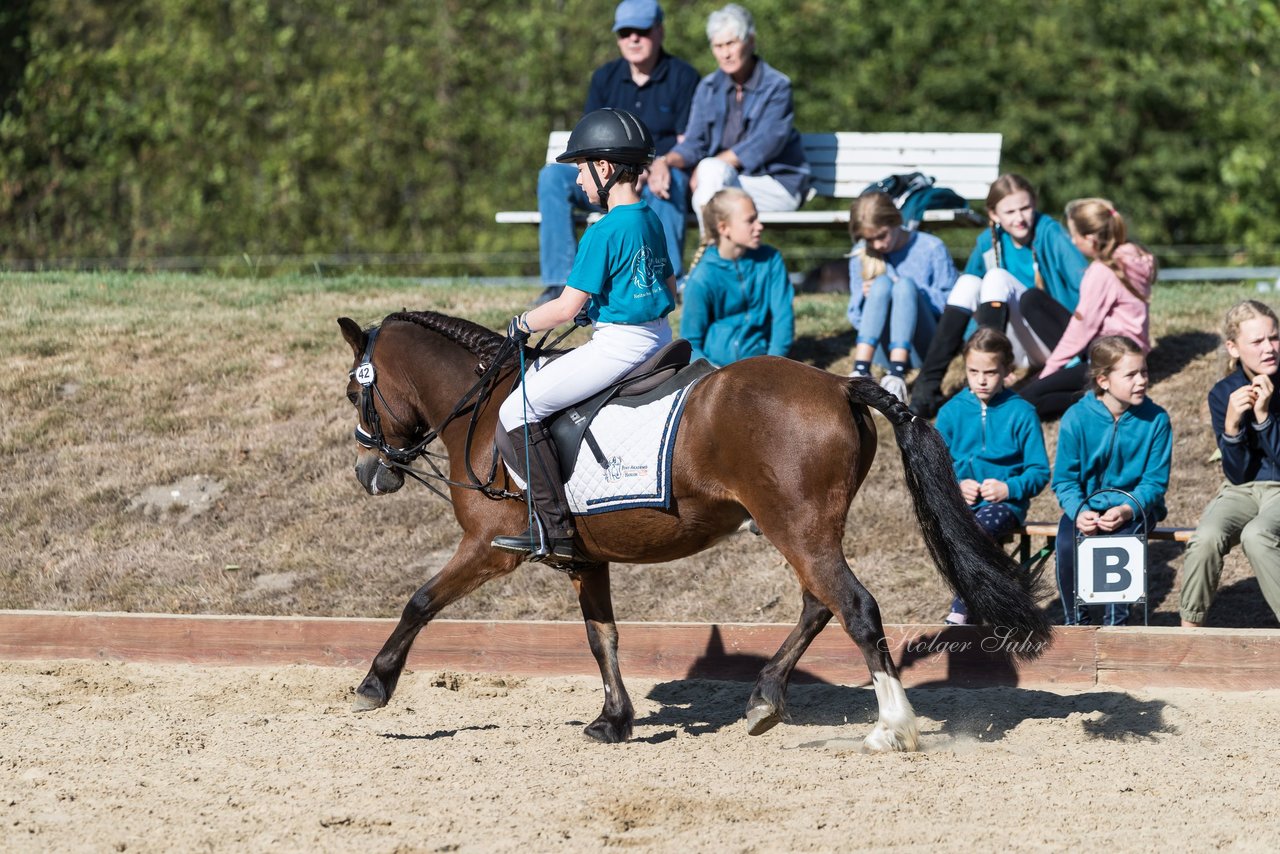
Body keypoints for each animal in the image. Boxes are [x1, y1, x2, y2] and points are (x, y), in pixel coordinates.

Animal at [340, 311, 1049, 752]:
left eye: (355, 393)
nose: (369, 472)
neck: (483, 409)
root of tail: (838, 383)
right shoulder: (587, 559)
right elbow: (602, 638)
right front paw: (614, 720)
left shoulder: (488, 547)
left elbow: (420, 602)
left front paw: (374, 685)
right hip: (805, 530)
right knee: (820, 605)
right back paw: (765, 700)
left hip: (797, 528)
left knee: (854, 607)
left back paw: (891, 728)